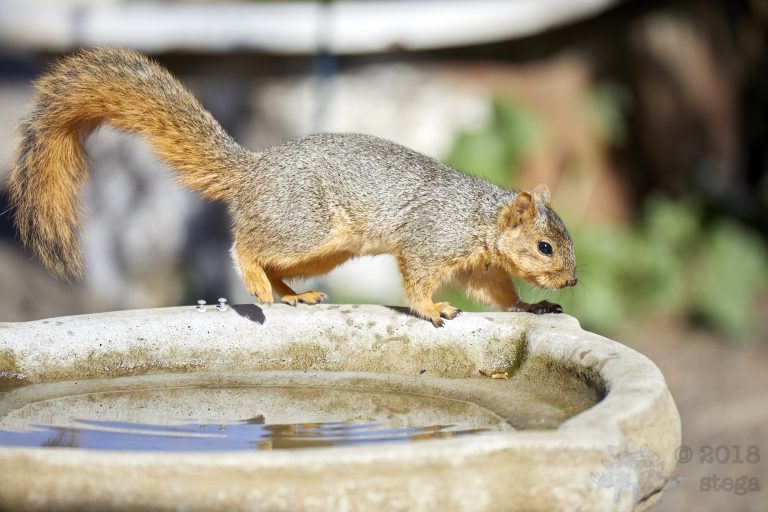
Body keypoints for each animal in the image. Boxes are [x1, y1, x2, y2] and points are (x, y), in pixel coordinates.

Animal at [7, 48, 577, 327]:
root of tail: (254, 171)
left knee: (276, 263)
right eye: (545, 247)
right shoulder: (430, 239)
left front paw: (532, 308)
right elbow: (416, 279)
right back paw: (258, 285)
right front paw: (433, 309)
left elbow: (496, 293)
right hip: (306, 225)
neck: (479, 218)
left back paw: (291, 296)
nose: (572, 282)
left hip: (324, 249)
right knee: (246, 245)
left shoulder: (480, 266)